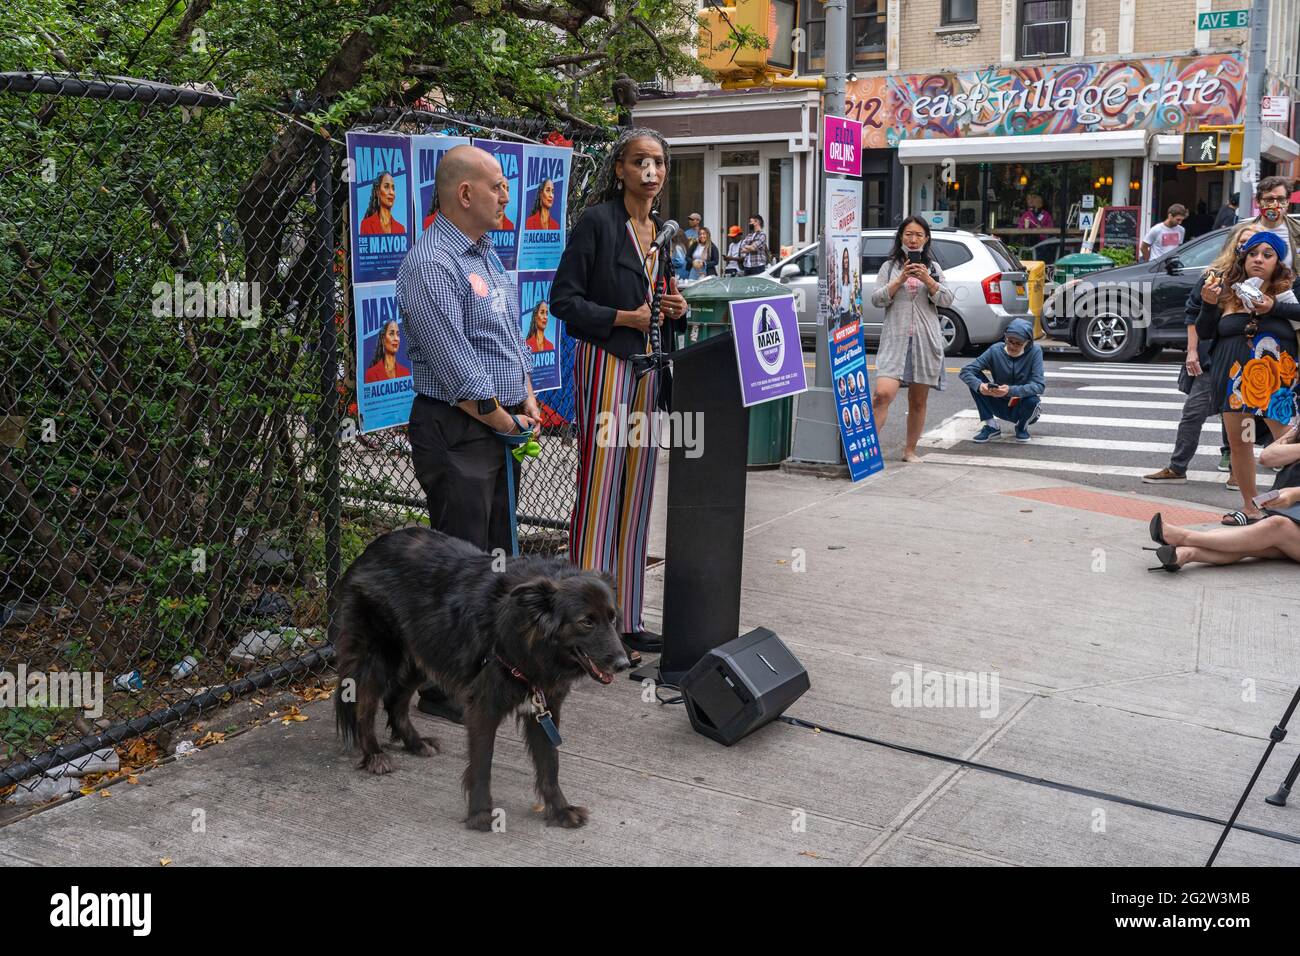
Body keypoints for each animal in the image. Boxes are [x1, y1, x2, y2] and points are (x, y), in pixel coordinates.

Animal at [335, 530, 629, 832]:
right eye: (586, 622)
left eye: (612, 618)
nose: (623, 664)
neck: (525, 635)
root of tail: (373, 548)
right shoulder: (484, 706)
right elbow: (482, 763)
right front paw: (481, 813)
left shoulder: (545, 708)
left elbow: (550, 763)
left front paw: (560, 810)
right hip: (380, 655)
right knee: (364, 705)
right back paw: (373, 754)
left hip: (427, 652)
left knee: (396, 699)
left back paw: (415, 743)